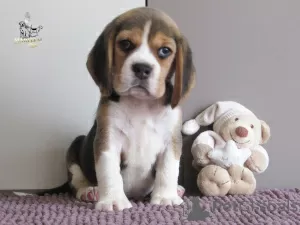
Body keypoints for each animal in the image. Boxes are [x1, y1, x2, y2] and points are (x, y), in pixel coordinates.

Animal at [65, 7, 196, 211]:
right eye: (125, 44)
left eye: (165, 51)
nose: (142, 68)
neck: (141, 104)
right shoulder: (108, 138)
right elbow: (109, 172)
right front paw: (112, 200)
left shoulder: (171, 140)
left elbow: (168, 170)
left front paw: (166, 197)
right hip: (75, 146)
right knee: (76, 180)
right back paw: (89, 190)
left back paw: (178, 189)